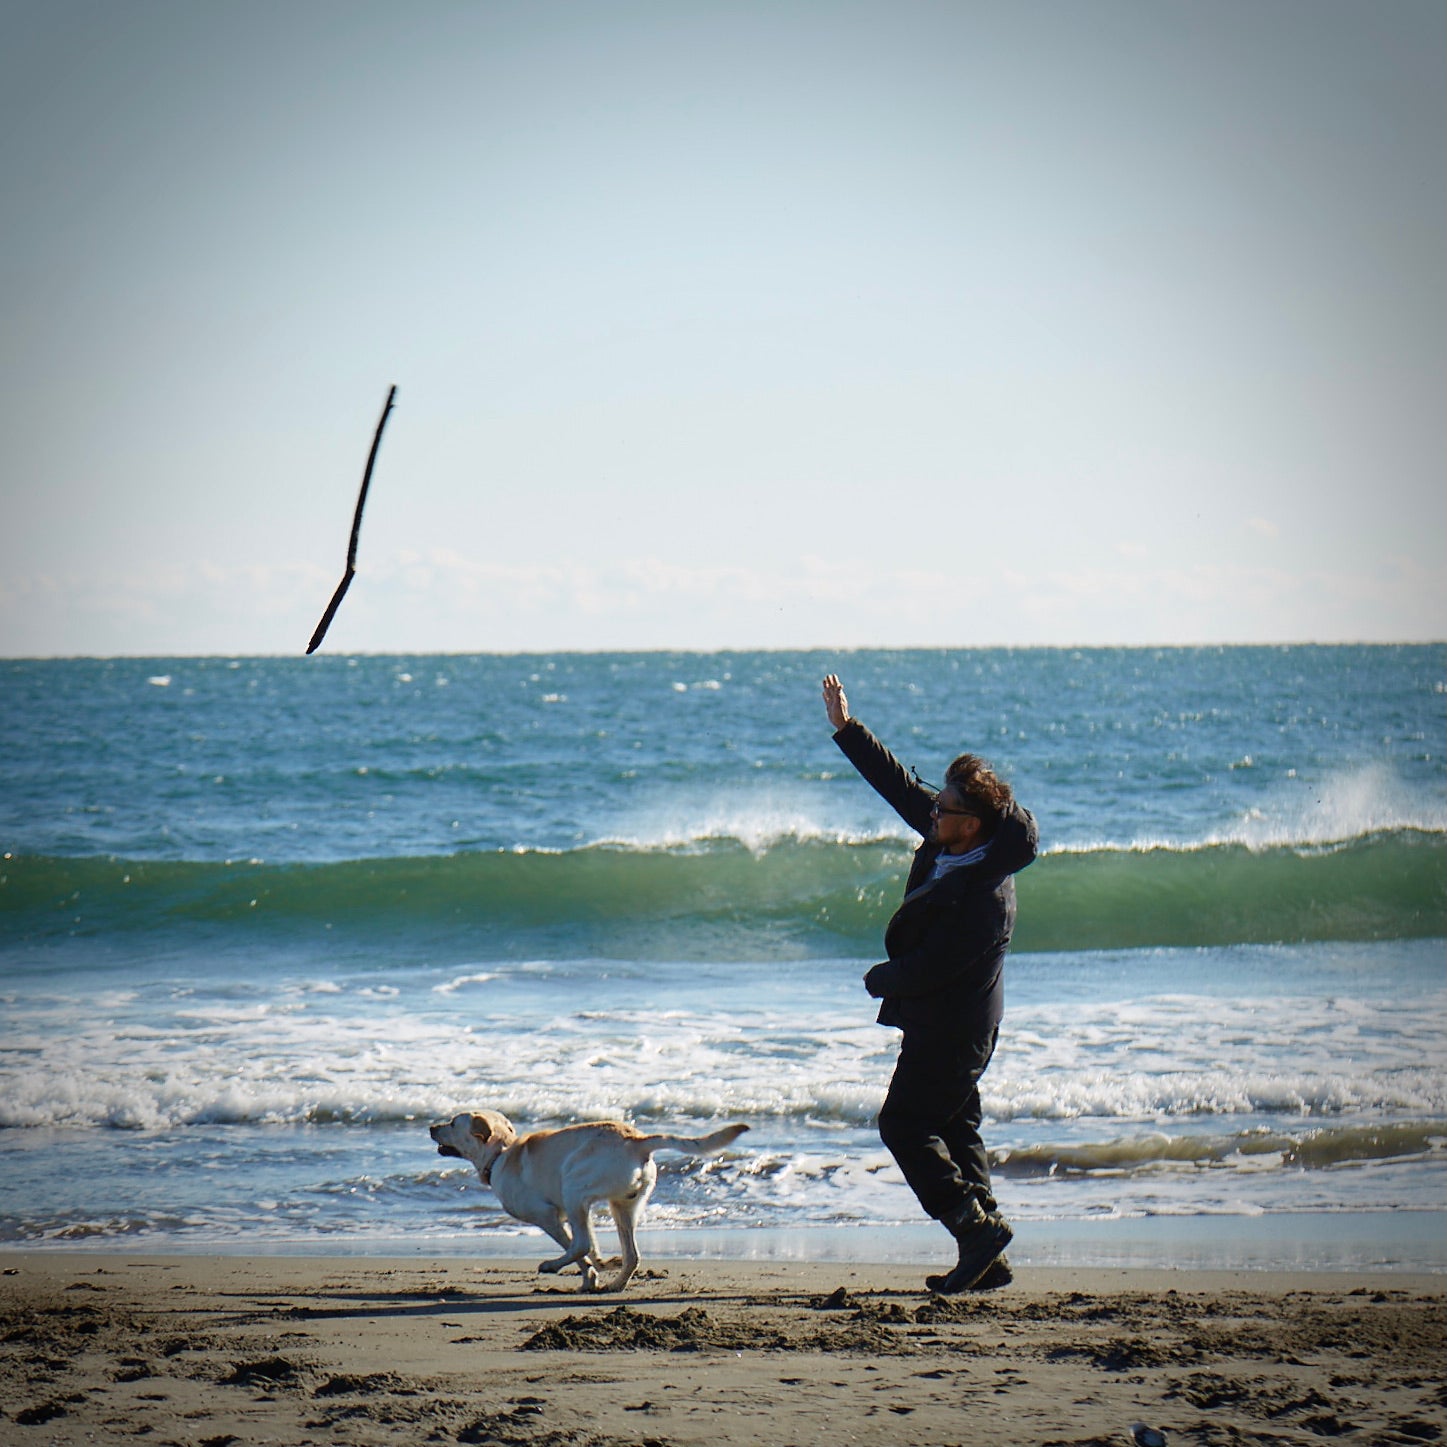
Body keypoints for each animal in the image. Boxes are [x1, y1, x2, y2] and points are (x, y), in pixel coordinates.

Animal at [425, 1105, 746, 1290]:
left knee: (581, 1244)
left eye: (452, 1123)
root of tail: (635, 1140)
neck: (501, 1152)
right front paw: (599, 1270)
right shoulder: (577, 1213)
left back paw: (552, 1266)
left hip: (574, 1187)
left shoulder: (548, 1216)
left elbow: (580, 1250)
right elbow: (592, 1252)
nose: (430, 1127)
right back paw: (615, 1283)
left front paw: (589, 1276)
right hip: (622, 1206)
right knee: (631, 1254)